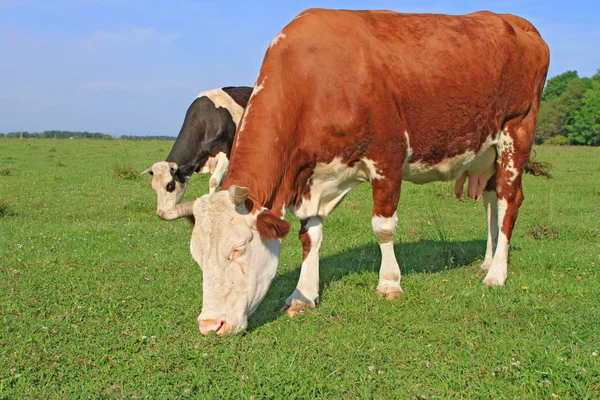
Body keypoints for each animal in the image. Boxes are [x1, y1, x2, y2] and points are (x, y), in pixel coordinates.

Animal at [142, 85, 252, 216]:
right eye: (154, 187)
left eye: (170, 185)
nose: (160, 212)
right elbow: (222, 181)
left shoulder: (226, 152)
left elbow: (214, 180)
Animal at [162, 8, 552, 334]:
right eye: (197, 258)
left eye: (238, 248)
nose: (210, 325)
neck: (315, 78)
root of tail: (515, 22)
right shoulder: (311, 177)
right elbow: (310, 235)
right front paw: (303, 294)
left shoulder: (388, 158)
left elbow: (382, 226)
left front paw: (389, 283)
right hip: (486, 152)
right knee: (490, 202)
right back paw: (487, 263)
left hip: (516, 131)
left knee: (508, 203)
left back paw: (497, 274)